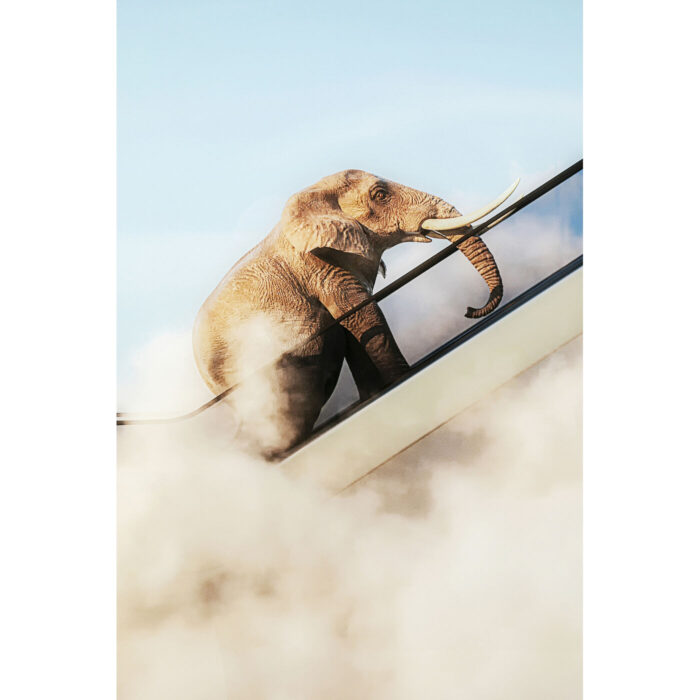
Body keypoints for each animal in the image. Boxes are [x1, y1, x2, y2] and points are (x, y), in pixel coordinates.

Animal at [193, 169, 517, 458]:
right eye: (380, 195)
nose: (469, 310)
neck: (313, 196)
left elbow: (355, 328)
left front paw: (375, 395)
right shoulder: (321, 268)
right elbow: (365, 317)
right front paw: (402, 379)